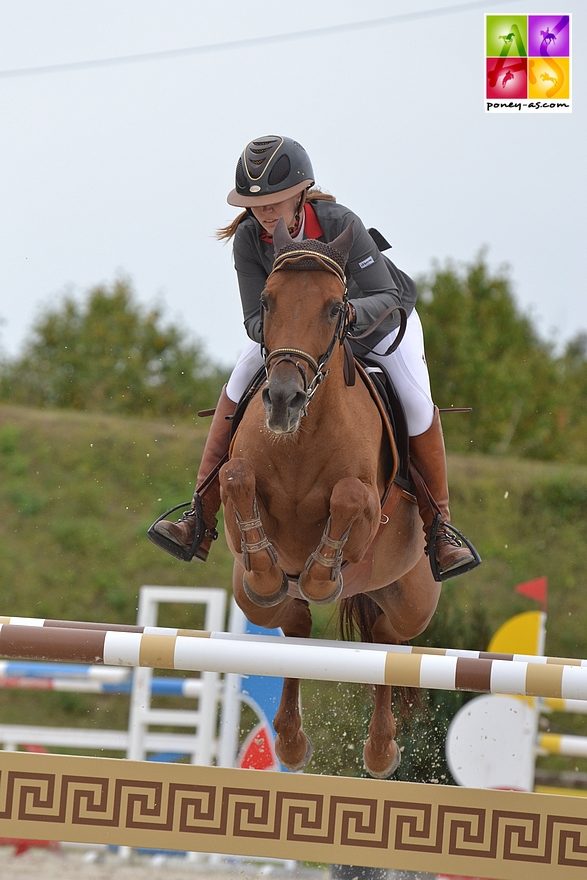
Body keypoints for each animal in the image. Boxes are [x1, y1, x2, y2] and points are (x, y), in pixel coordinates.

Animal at [220, 218, 440, 776]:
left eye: (335, 308)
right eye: (268, 302)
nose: (282, 399)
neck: (303, 434)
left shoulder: (365, 510)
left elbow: (348, 498)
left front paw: (322, 576)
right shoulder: (241, 484)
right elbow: (235, 478)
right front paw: (270, 568)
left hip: (413, 601)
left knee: (386, 641)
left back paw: (381, 750)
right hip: (249, 602)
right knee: (294, 626)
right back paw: (291, 741)